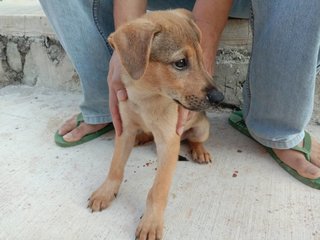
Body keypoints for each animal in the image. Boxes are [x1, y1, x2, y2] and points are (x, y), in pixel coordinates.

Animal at [87, 8, 222, 240]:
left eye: (200, 57)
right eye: (180, 63)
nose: (219, 97)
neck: (146, 96)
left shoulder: (169, 141)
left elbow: (158, 190)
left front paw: (151, 222)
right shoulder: (124, 130)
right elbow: (115, 166)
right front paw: (105, 192)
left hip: (202, 127)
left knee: (194, 139)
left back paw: (200, 151)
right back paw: (142, 137)